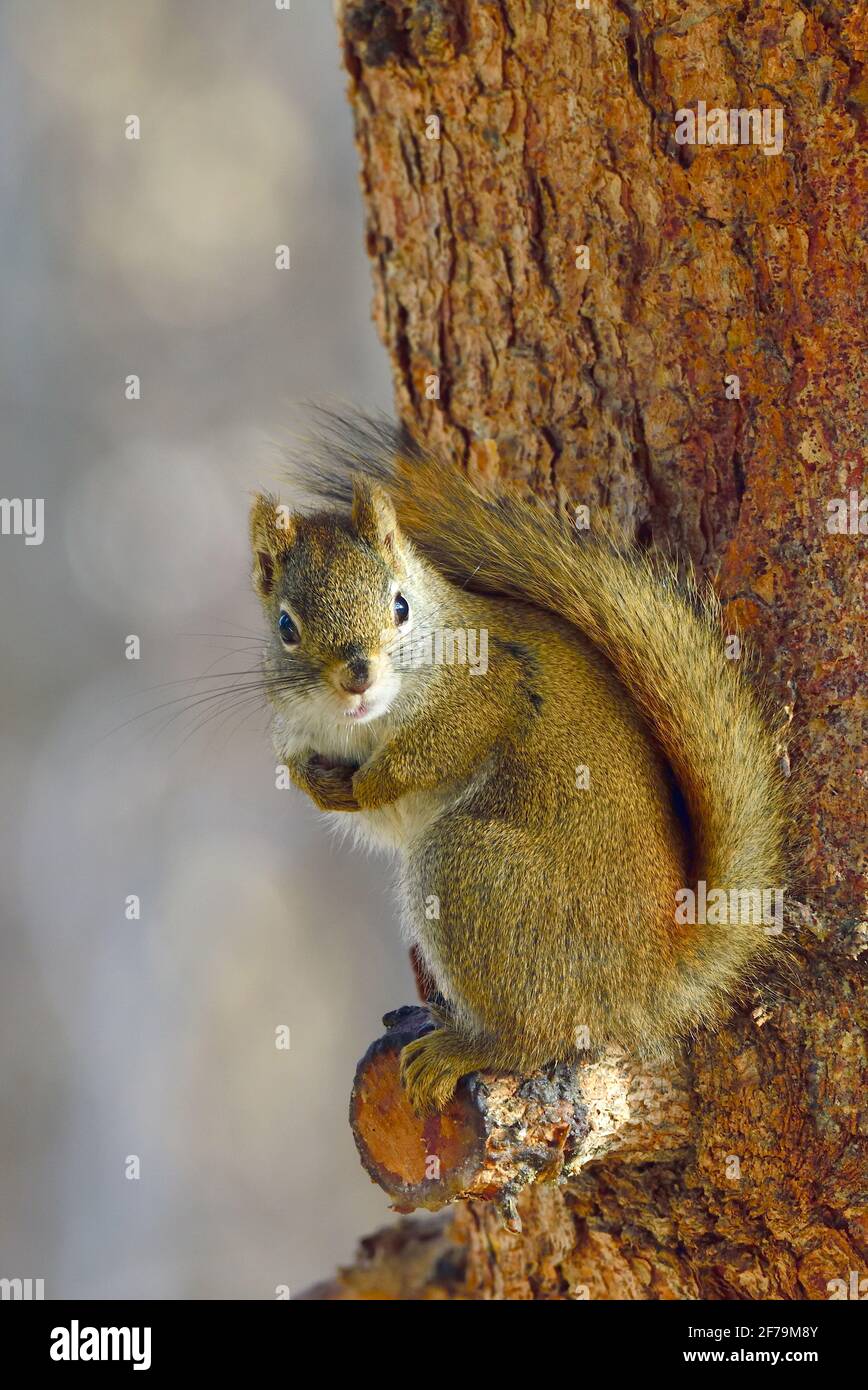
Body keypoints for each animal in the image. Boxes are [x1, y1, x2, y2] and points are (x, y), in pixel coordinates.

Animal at [249, 410, 788, 1115]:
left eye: (399, 605)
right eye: (285, 626)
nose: (356, 676)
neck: (361, 728)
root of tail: (652, 971)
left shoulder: (493, 686)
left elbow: (439, 745)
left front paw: (369, 781)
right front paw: (319, 782)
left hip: (472, 872)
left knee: (537, 1036)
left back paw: (464, 1048)